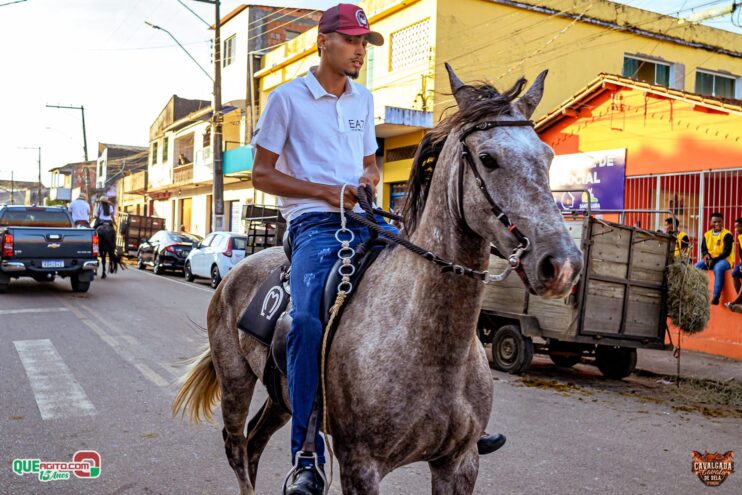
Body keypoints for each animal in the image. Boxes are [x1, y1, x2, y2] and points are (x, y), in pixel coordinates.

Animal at [173, 64, 583, 494]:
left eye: (548, 155)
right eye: (488, 159)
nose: (562, 265)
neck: (433, 347)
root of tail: (232, 277)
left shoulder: (459, 463)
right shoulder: (361, 466)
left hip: (280, 397)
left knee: (255, 443)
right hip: (235, 379)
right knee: (237, 447)